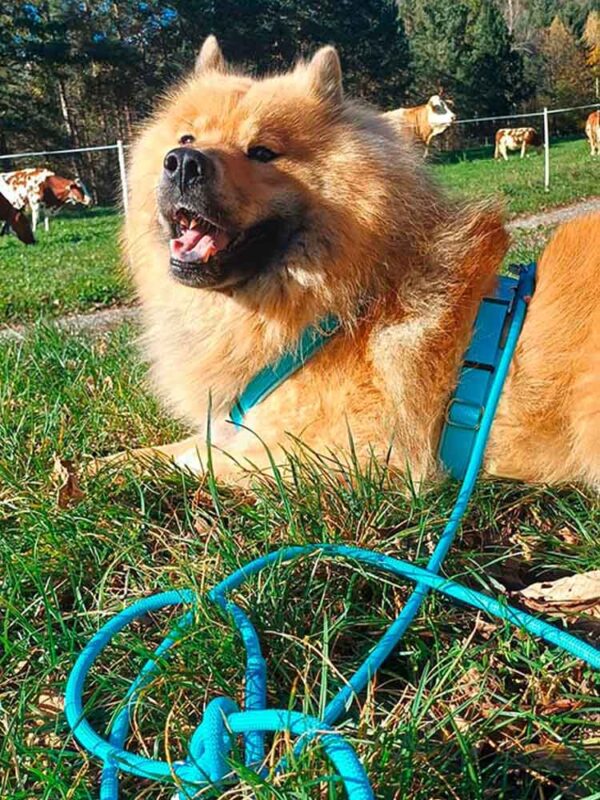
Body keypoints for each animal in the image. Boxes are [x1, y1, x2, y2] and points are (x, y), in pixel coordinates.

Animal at [120, 37, 600, 490]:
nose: (183, 163)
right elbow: (156, 452)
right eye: (186, 139)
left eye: (261, 152)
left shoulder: (351, 454)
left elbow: (198, 459)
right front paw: (104, 469)